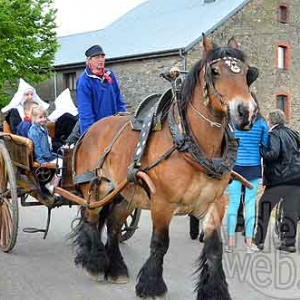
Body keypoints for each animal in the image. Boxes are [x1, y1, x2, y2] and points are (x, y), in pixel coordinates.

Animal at [69, 35, 258, 300]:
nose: (246, 112)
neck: (189, 143)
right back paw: (94, 263)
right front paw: (151, 285)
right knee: (92, 219)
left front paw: (214, 290)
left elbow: (214, 248)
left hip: (127, 194)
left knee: (114, 225)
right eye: (215, 71)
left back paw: (116, 268)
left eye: (246, 73)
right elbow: (160, 243)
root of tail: (89, 130)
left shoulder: (215, 202)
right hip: (95, 189)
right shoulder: (162, 203)